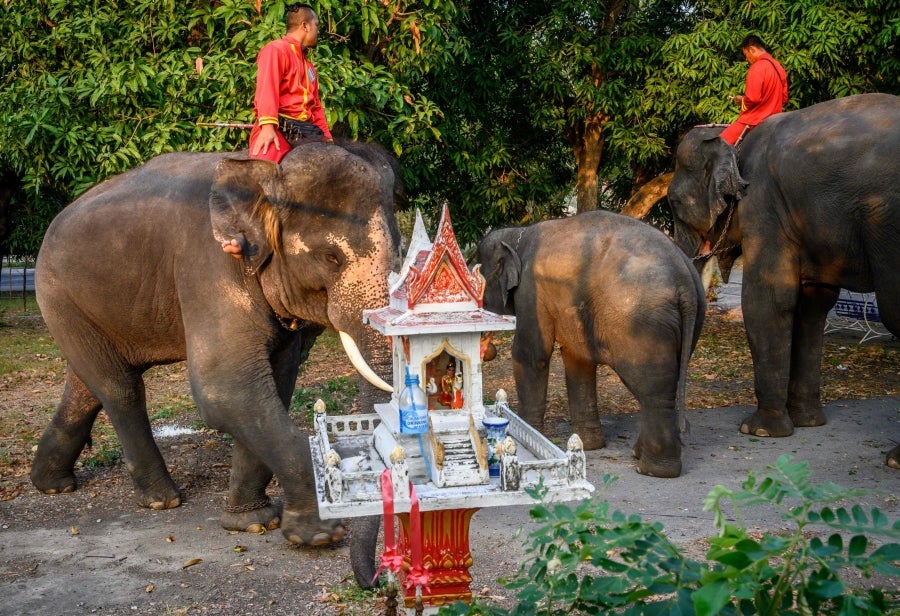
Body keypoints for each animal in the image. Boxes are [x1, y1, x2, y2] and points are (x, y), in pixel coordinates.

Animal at [30, 140, 396, 584]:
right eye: (331, 258)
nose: (377, 582)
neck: (265, 174)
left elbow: (274, 384)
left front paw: (253, 523)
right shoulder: (209, 265)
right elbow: (225, 389)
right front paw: (318, 535)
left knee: (86, 387)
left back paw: (52, 485)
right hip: (56, 292)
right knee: (120, 388)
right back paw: (162, 500)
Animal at [475, 210, 706, 478]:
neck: (517, 233)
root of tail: (685, 281)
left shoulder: (531, 292)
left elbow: (531, 354)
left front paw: (526, 434)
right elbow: (577, 359)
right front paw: (591, 445)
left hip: (643, 325)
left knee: (653, 390)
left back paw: (653, 470)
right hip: (690, 319)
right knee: (662, 386)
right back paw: (641, 455)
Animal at [667, 93, 900, 468]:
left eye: (673, 203)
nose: (685, 431)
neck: (733, 139)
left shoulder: (763, 204)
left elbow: (769, 299)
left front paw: (759, 431)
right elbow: (813, 304)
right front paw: (807, 422)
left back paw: (894, 460)